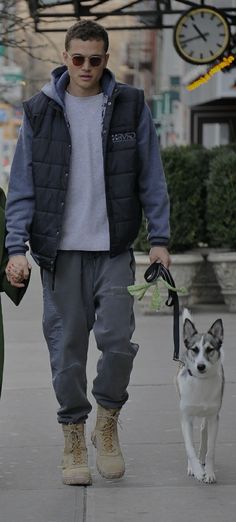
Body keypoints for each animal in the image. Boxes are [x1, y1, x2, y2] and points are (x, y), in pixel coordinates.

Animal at [176, 306, 224, 482]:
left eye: (210, 350)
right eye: (194, 350)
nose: (201, 366)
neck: (201, 382)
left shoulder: (214, 418)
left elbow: (210, 449)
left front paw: (209, 473)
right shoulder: (186, 418)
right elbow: (189, 447)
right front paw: (196, 470)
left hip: (208, 417)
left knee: (204, 432)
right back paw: (192, 466)